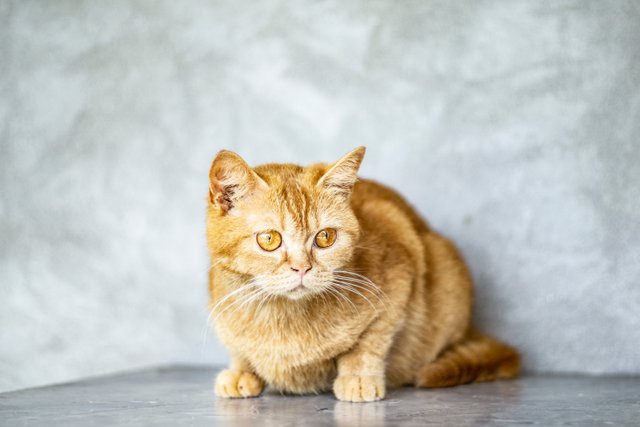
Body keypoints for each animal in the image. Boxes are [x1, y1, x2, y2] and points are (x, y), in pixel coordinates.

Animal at [205, 149, 520, 402]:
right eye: (269, 239)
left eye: (325, 237)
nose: (302, 268)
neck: (280, 317)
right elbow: (238, 348)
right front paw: (241, 370)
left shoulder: (399, 273)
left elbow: (369, 341)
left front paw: (357, 377)